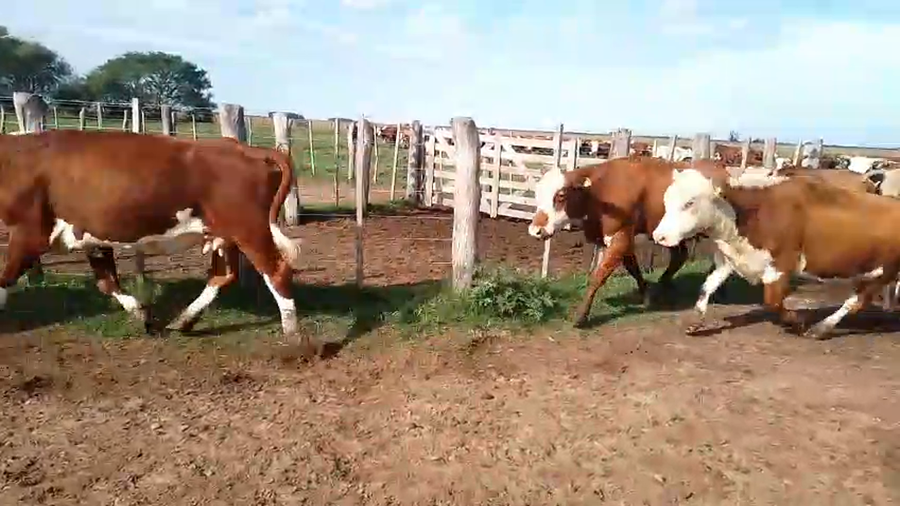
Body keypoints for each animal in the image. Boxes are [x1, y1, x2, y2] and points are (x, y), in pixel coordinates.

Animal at [0, 130, 313, 350]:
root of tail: (239, 146)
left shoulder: (28, 232)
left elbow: (4, 279)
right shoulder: (94, 238)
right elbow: (106, 282)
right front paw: (143, 316)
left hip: (249, 229)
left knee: (277, 272)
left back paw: (293, 338)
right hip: (224, 235)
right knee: (223, 275)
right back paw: (183, 321)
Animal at [528, 155, 729, 326]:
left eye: (561, 195)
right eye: (537, 194)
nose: (535, 230)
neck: (600, 192)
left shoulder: (620, 236)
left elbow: (598, 275)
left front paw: (581, 316)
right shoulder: (619, 239)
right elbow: (632, 268)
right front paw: (647, 296)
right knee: (680, 256)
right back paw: (664, 286)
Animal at [651, 167, 900, 339]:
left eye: (689, 203)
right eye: (666, 200)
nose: (658, 236)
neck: (753, 212)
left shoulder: (781, 265)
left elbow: (772, 300)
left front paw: (797, 321)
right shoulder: (731, 260)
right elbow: (707, 287)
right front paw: (695, 321)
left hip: (884, 271)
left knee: (857, 301)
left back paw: (821, 328)